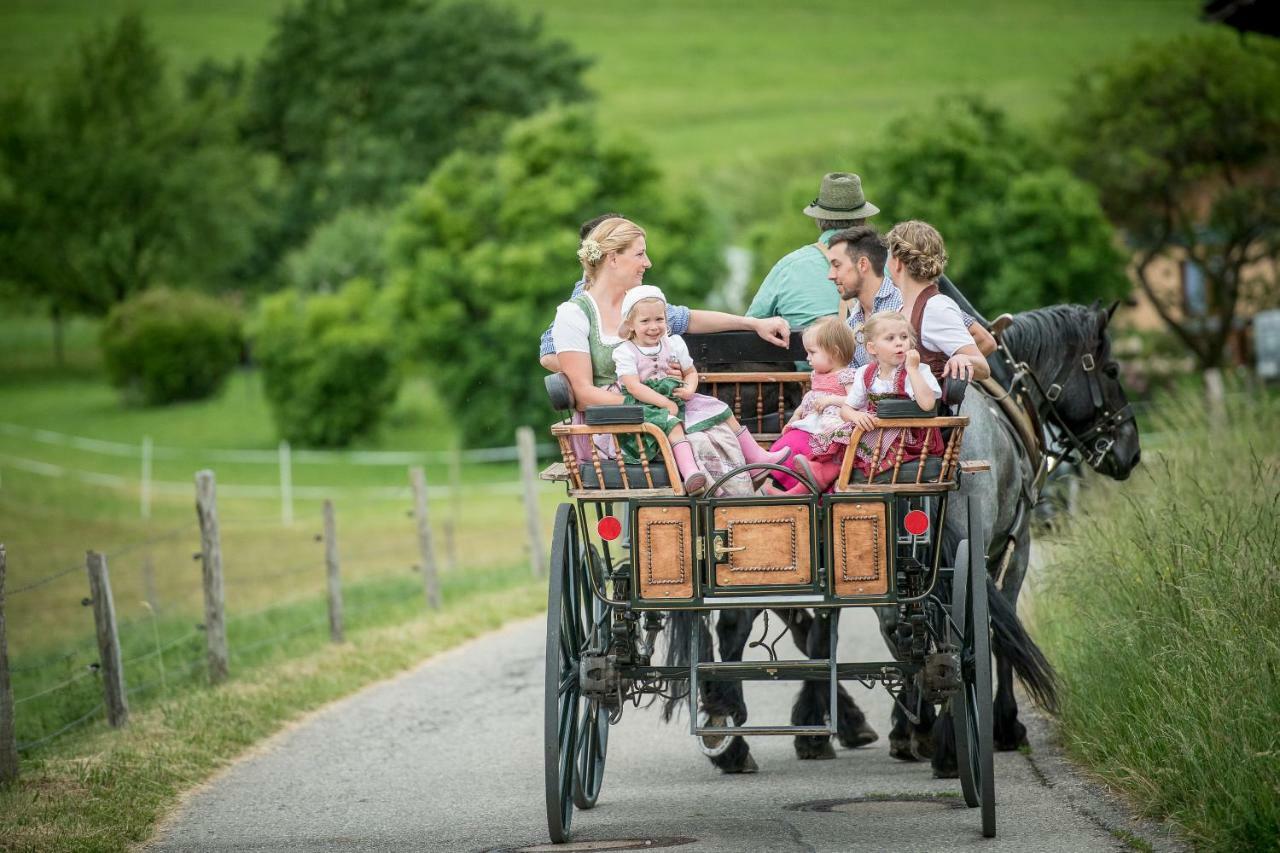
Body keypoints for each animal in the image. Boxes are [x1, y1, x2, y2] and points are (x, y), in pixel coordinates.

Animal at [670, 302, 1141, 773]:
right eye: (1112, 369)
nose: (1130, 453)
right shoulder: (1013, 545)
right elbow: (994, 629)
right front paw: (1003, 725)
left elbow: (855, 631)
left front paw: (892, 725)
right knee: (943, 628)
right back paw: (942, 742)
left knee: (743, 625)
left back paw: (734, 734)